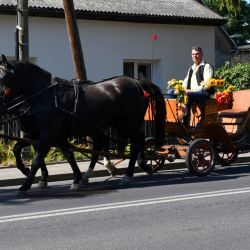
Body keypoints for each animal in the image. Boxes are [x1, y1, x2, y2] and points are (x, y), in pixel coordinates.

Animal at [0, 55, 166, 194]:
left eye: (5, 77)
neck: (47, 96)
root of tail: (138, 83)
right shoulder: (46, 133)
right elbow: (65, 154)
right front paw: (76, 179)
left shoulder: (48, 134)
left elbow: (37, 159)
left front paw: (25, 185)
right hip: (115, 126)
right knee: (115, 145)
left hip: (128, 124)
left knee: (136, 143)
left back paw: (129, 174)